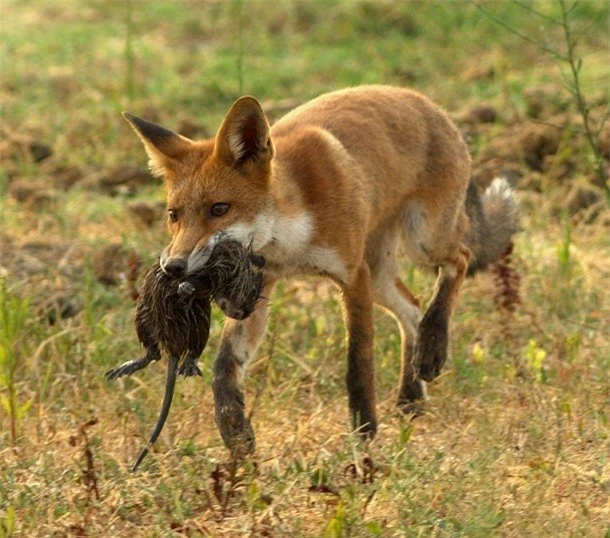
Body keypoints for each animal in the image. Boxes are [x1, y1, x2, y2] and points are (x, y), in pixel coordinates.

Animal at [123, 85, 516, 452]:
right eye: (174, 215)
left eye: (219, 209)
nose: (173, 267)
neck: (289, 241)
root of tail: (436, 108)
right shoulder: (258, 288)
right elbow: (225, 364)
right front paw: (234, 428)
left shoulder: (353, 276)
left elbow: (358, 364)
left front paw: (365, 436)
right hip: (381, 275)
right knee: (413, 307)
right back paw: (411, 396)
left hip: (423, 240)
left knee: (459, 259)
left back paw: (433, 348)